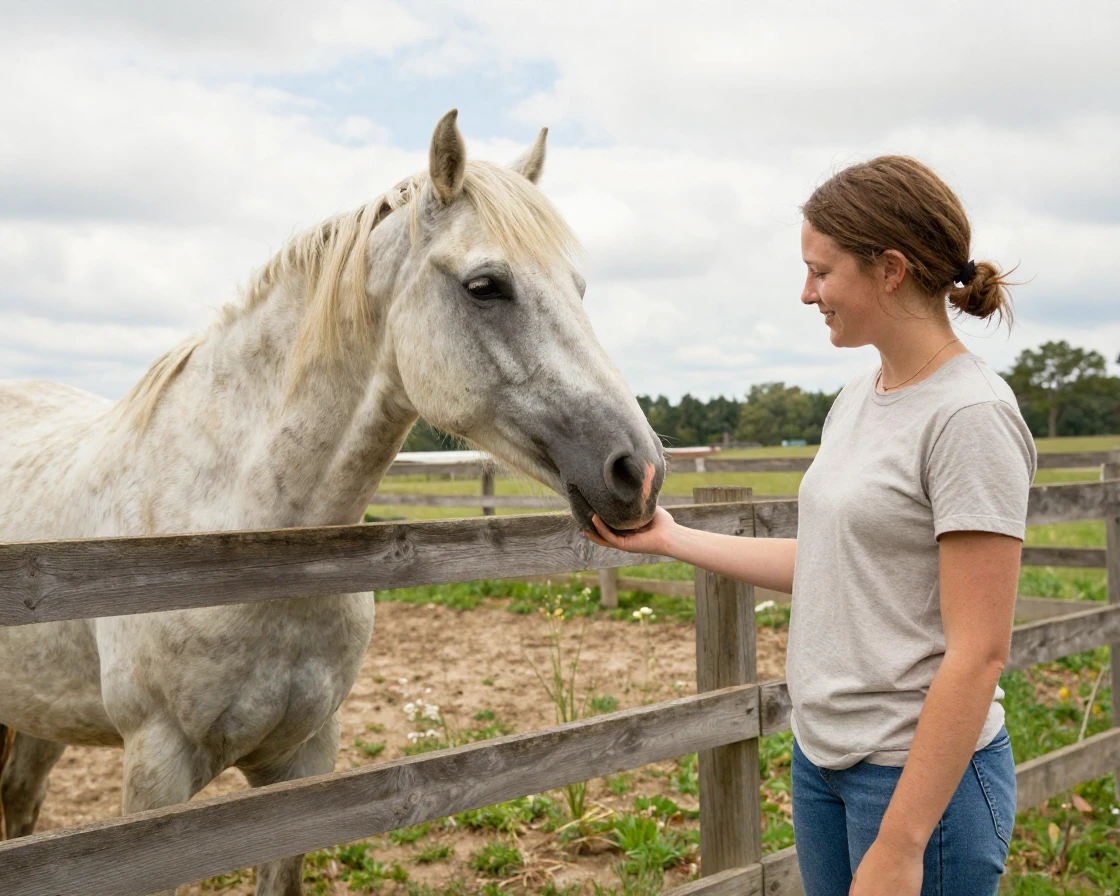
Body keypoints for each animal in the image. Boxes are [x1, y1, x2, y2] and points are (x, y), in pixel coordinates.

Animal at [0, 109, 666, 895]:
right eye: (485, 285)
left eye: (579, 288)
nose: (639, 472)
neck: (235, 536)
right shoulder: (155, 779)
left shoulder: (306, 762)